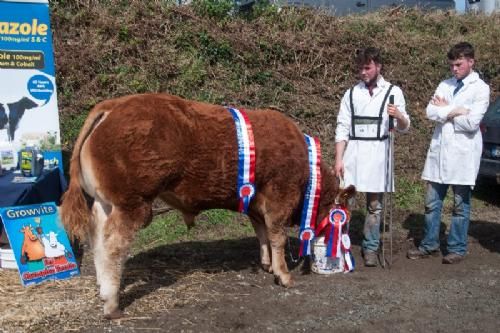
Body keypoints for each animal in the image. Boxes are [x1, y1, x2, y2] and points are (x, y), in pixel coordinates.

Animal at [59, 92, 356, 316]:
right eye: (344, 217)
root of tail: (114, 104)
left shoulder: (255, 204)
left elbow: (261, 234)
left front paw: (267, 264)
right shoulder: (279, 196)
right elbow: (277, 237)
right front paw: (283, 275)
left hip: (104, 202)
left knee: (97, 239)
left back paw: (102, 289)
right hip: (132, 203)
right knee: (112, 246)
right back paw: (111, 304)